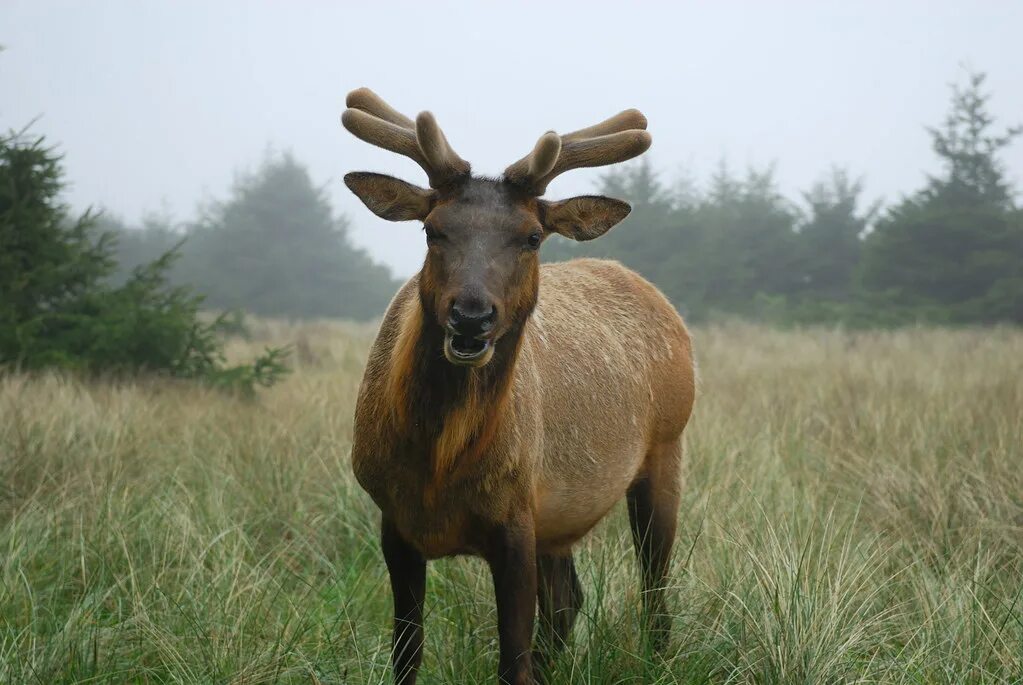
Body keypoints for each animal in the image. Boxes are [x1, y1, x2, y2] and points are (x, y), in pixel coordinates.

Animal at [343, 89, 695, 685]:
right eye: (432, 229)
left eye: (532, 236)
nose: (471, 315)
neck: (438, 468)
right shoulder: (394, 520)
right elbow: (406, 654)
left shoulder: (515, 516)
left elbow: (513, 660)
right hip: (560, 516)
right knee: (569, 602)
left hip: (666, 448)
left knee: (654, 593)